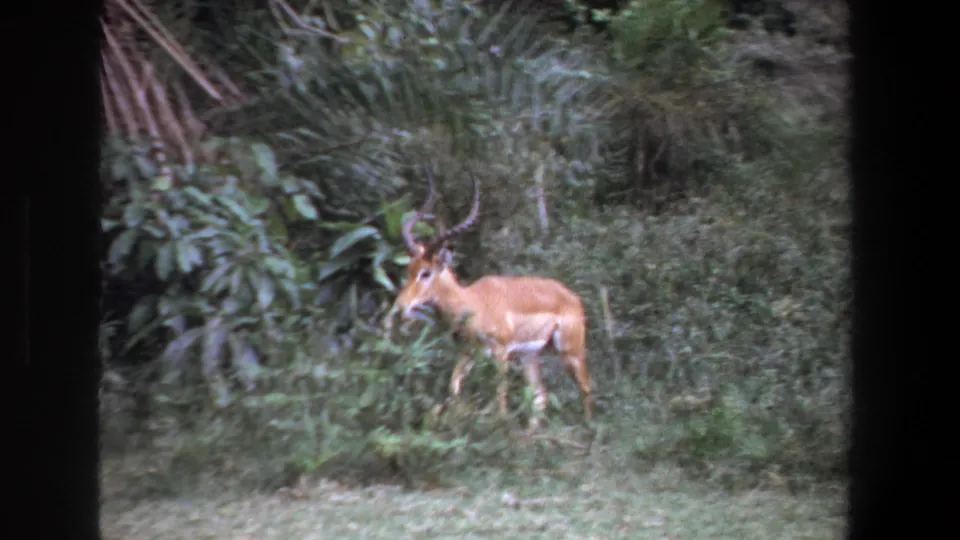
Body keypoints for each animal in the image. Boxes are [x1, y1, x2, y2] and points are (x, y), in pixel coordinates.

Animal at [385, 169, 593, 430]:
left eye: (426, 272)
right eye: (409, 268)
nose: (400, 306)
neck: (473, 303)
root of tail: (572, 297)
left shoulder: (501, 353)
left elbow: (500, 398)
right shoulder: (467, 351)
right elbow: (453, 387)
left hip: (570, 351)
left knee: (585, 388)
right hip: (529, 355)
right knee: (540, 396)